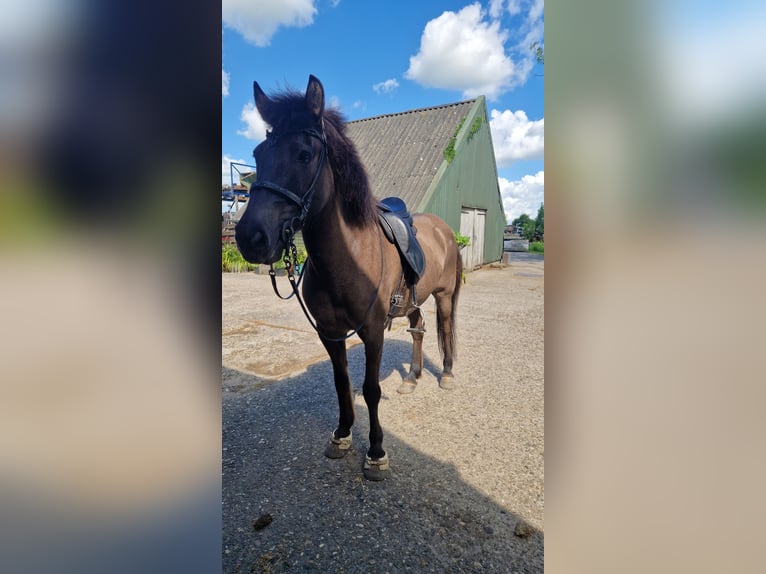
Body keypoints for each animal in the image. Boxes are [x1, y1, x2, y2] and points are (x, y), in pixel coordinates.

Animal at [235, 75, 462, 480]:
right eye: (258, 154)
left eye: (304, 154)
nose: (250, 238)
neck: (346, 258)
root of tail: (443, 228)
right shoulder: (329, 331)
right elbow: (342, 383)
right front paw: (342, 435)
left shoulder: (372, 330)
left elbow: (370, 389)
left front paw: (376, 452)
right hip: (414, 300)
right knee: (419, 330)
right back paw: (412, 378)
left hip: (445, 295)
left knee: (445, 330)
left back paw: (446, 376)